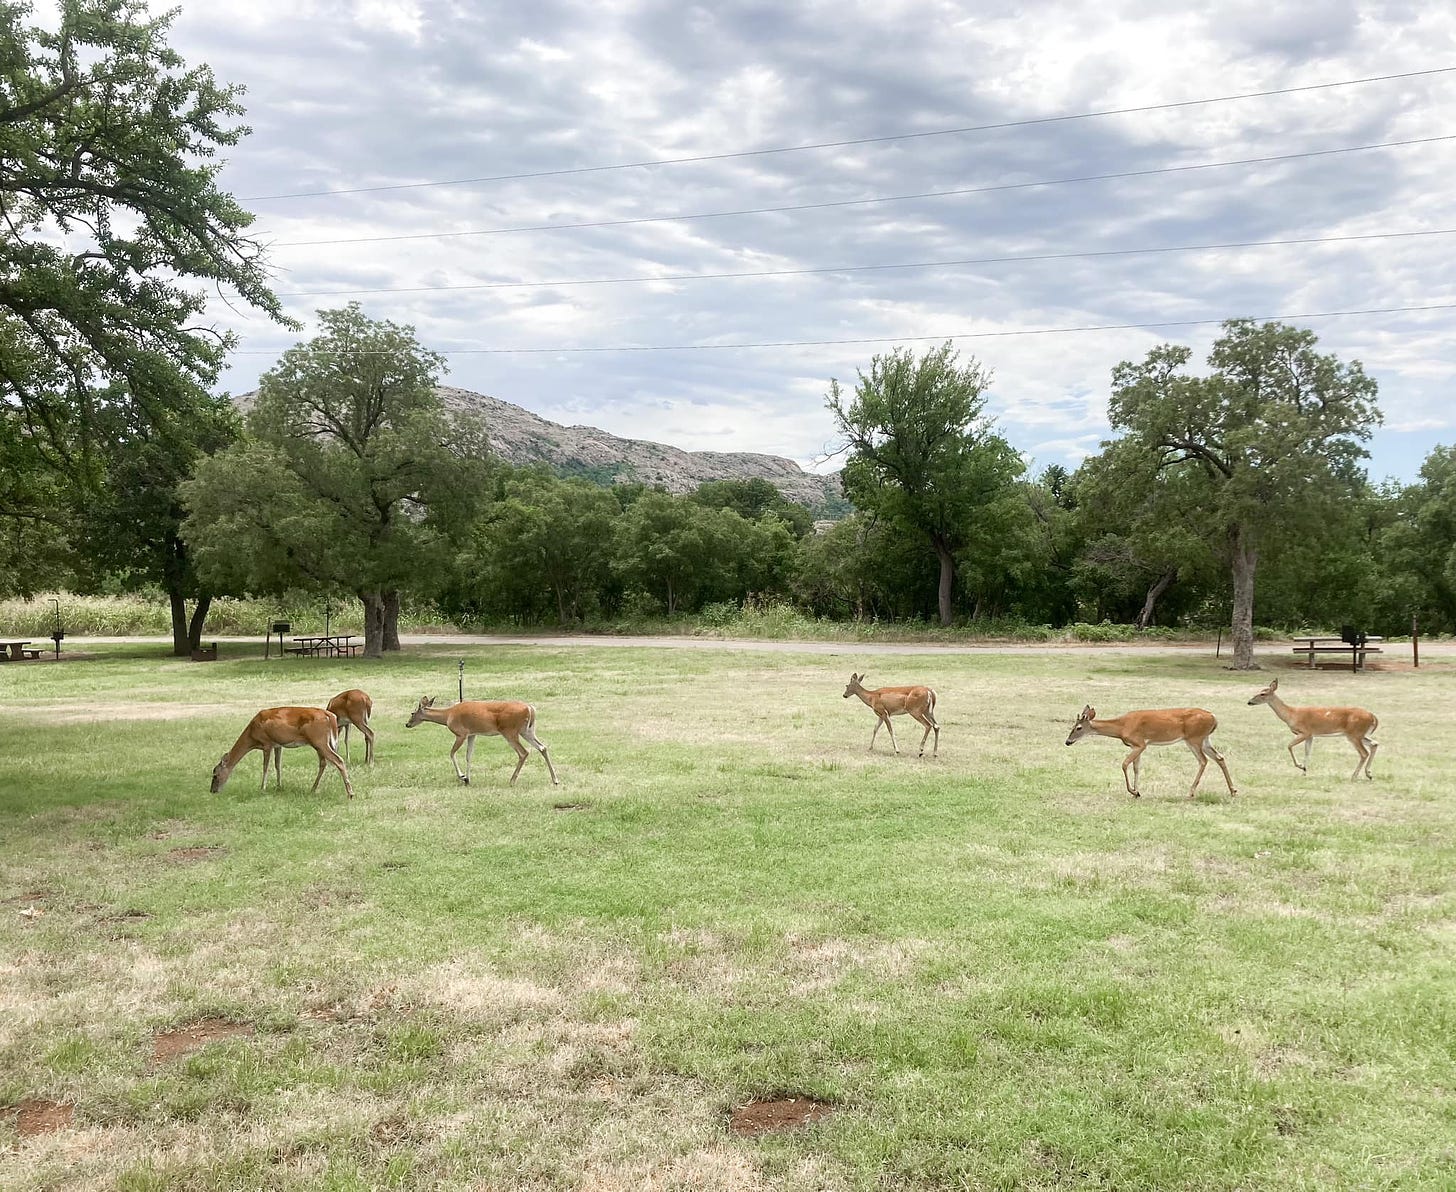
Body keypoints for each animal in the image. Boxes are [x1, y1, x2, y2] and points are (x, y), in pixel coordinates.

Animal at [407, 695, 559, 785]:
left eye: (412, 713)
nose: (407, 724)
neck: (448, 715)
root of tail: (530, 708)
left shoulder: (461, 733)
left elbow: (452, 753)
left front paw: (462, 776)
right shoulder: (472, 734)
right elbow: (469, 756)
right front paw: (468, 779)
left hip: (510, 731)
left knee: (523, 752)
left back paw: (512, 780)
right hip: (527, 730)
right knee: (542, 747)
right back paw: (555, 779)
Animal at [1065, 704, 1234, 797]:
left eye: (1078, 728)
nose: (1067, 742)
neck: (1121, 727)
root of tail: (1214, 717)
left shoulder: (1140, 743)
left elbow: (1124, 764)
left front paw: (1133, 791)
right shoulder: (1136, 746)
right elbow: (1136, 768)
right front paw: (1137, 791)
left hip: (1194, 738)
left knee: (1203, 760)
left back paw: (1191, 791)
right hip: (1204, 739)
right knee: (1219, 757)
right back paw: (1233, 790)